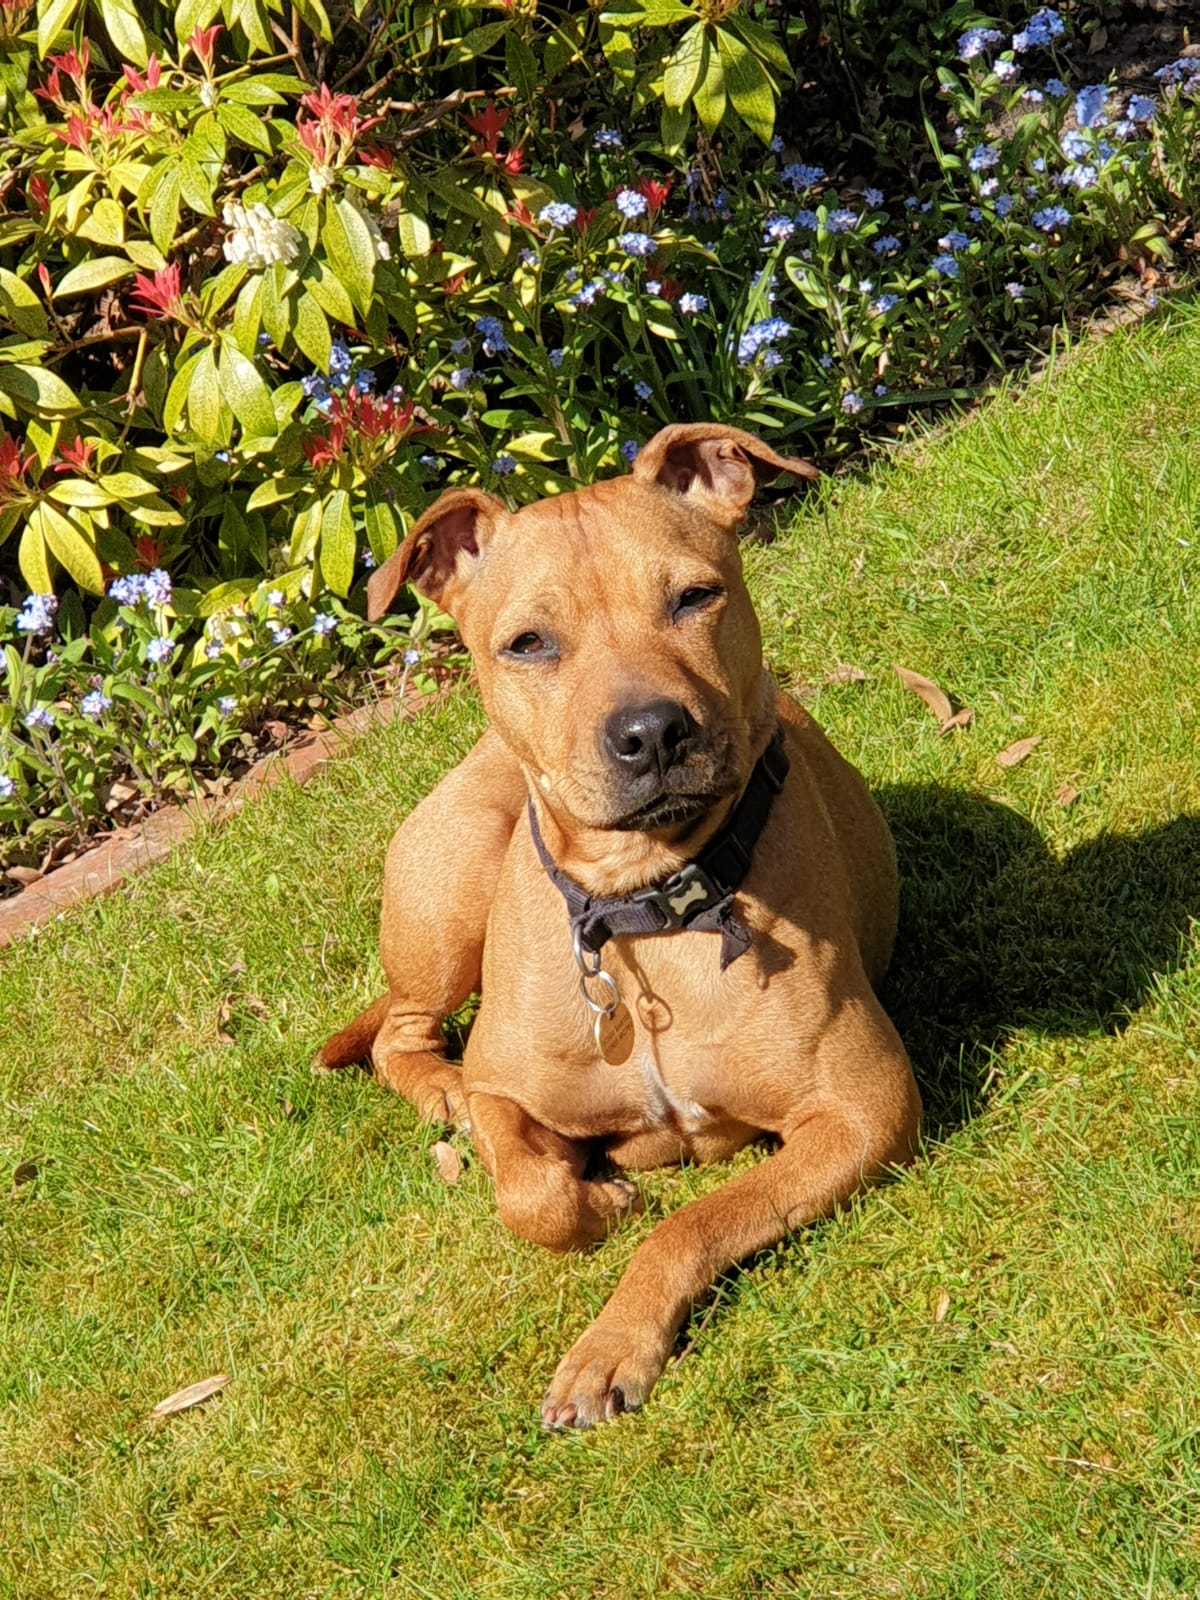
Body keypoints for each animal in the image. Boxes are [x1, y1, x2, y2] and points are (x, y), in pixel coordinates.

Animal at [320, 422, 921, 1427]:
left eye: (694, 596)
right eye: (528, 643)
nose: (650, 732)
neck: (644, 912)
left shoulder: (862, 1109)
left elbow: (692, 1220)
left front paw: (610, 1343)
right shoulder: (506, 1084)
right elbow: (531, 1196)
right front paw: (592, 1197)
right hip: (450, 896)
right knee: (399, 1035)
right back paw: (442, 1092)